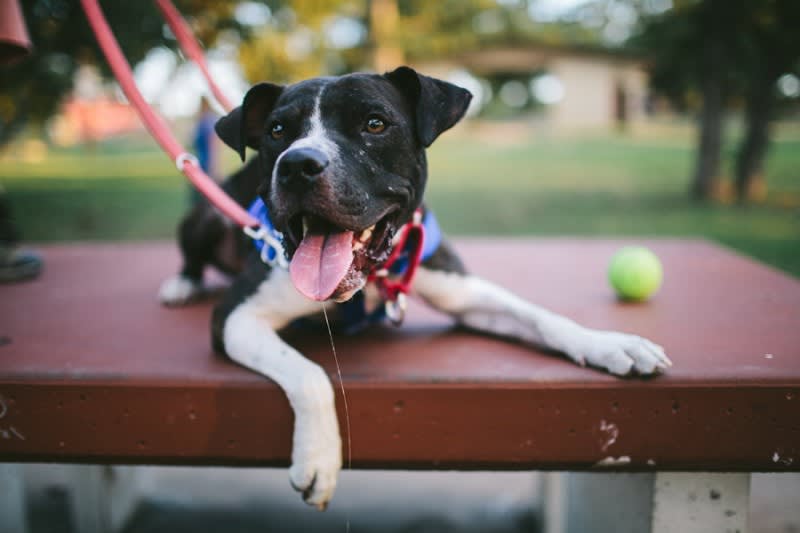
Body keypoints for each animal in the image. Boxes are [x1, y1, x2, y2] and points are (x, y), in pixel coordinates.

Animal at [156, 67, 668, 512]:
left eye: (374, 123)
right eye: (278, 131)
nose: (298, 163)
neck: (367, 281)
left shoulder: (463, 292)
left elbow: (542, 317)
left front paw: (610, 343)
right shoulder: (237, 315)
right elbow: (309, 373)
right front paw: (318, 458)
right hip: (204, 215)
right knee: (193, 251)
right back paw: (182, 283)